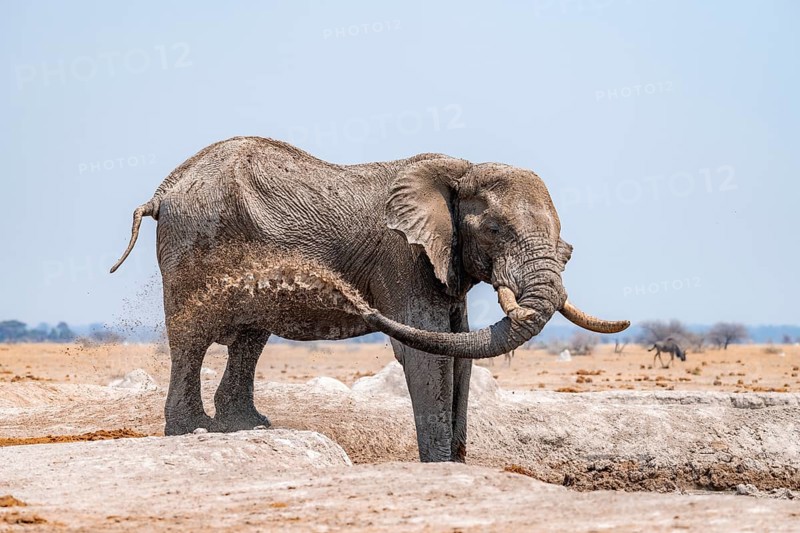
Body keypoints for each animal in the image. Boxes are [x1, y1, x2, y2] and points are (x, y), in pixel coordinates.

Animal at [111, 136, 629, 462]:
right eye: (496, 230)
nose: (354, 301)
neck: (460, 169)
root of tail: (163, 191)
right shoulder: (403, 258)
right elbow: (428, 352)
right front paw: (439, 466)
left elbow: (459, 350)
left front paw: (459, 464)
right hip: (192, 242)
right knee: (192, 338)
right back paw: (193, 430)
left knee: (250, 338)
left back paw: (248, 427)